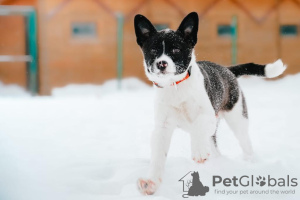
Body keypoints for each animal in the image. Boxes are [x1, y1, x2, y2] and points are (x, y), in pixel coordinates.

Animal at [134, 11, 286, 195]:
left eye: (176, 49)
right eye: (153, 50)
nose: (161, 63)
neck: (176, 87)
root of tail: (228, 70)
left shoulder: (208, 115)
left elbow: (198, 126)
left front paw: (199, 151)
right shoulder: (162, 128)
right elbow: (158, 156)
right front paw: (151, 182)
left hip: (237, 118)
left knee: (245, 143)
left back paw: (249, 162)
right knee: (214, 148)